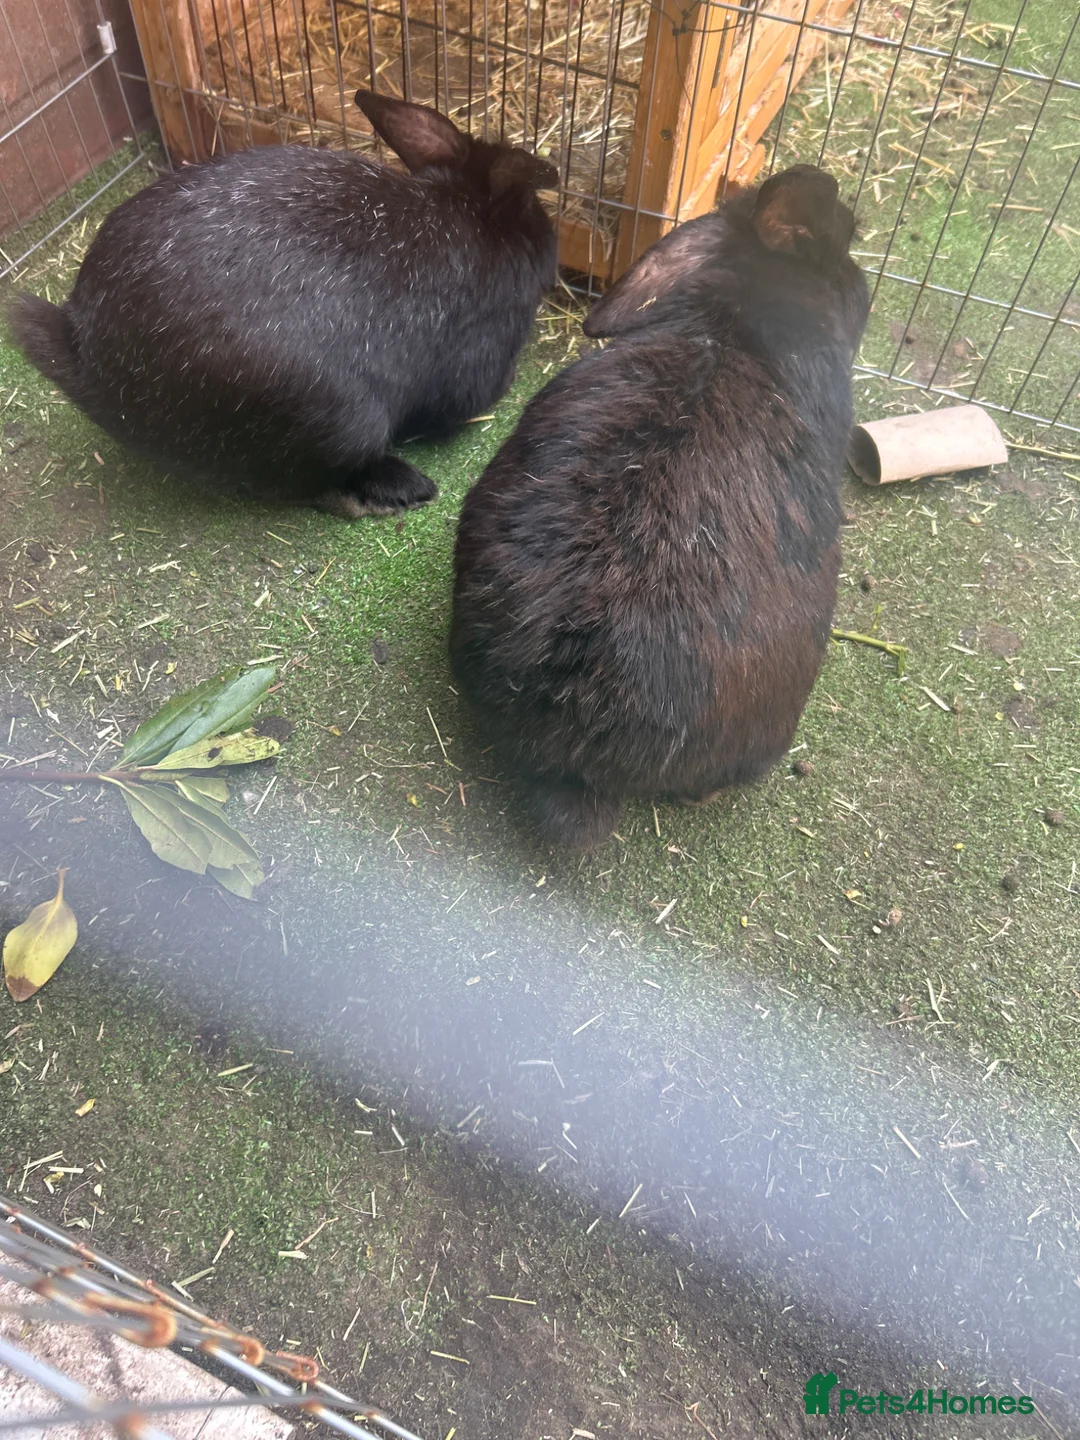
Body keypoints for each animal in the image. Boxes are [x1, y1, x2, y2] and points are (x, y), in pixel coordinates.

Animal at [9, 90, 558, 518]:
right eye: (535, 217)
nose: (553, 249)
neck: (468, 214)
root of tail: (91, 358)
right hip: (345, 420)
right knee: (304, 483)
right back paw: (394, 491)